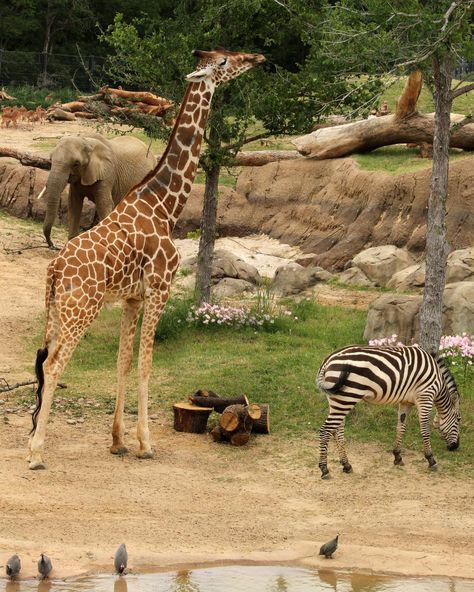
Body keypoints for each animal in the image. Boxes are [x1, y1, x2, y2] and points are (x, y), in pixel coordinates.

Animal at [28, 48, 266, 470]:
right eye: (223, 62)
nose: (257, 58)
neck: (165, 206)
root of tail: (54, 268)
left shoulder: (131, 297)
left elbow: (123, 361)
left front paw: (118, 441)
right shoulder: (159, 289)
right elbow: (146, 362)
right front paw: (146, 443)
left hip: (56, 311)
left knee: (43, 361)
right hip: (81, 310)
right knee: (54, 364)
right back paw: (37, 453)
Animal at [316, 344, 462, 478]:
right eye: (459, 420)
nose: (455, 447)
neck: (439, 382)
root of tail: (327, 360)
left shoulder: (405, 402)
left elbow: (401, 427)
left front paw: (397, 456)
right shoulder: (426, 396)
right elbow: (425, 430)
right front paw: (431, 459)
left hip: (337, 400)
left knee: (337, 431)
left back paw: (346, 465)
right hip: (347, 397)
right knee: (325, 430)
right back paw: (324, 470)